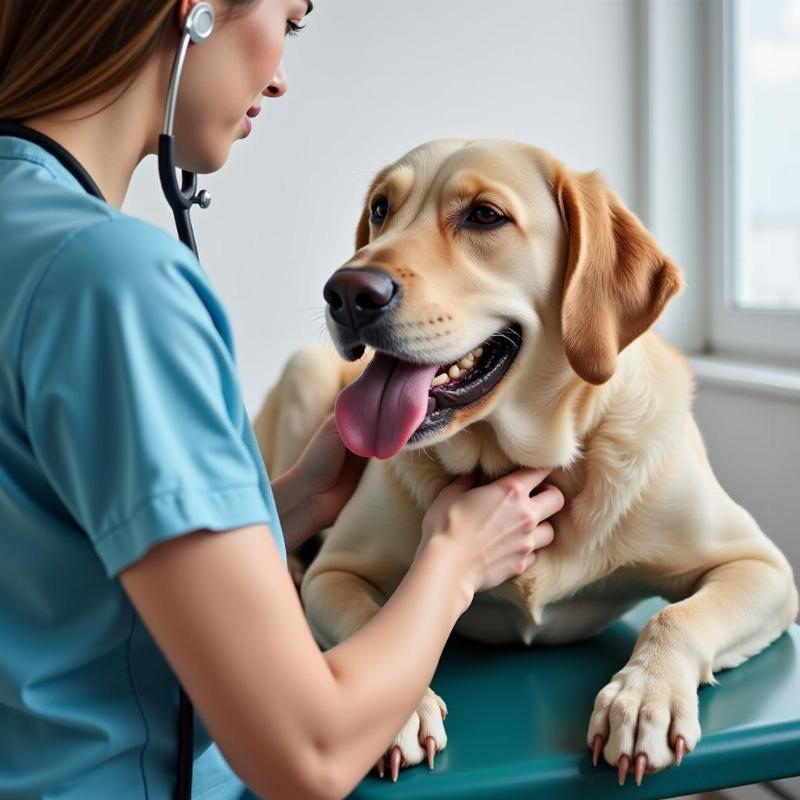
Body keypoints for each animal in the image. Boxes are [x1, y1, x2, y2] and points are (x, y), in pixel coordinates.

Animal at [252, 138, 800, 780]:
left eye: (485, 216)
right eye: (382, 209)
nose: (346, 293)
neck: (524, 462)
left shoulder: (761, 566)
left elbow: (677, 616)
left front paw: (644, 697)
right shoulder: (336, 573)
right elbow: (371, 628)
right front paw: (395, 709)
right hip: (306, 372)